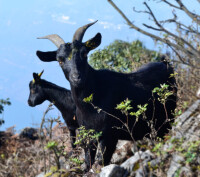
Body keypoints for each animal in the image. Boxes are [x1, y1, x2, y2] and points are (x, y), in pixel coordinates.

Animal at [36, 21, 177, 169]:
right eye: (60, 60)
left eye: (84, 53)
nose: (76, 77)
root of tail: (165, 63)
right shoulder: (88, 135)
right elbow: (88, 163)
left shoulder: (109, 135)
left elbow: (103, 162)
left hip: (167, 118)